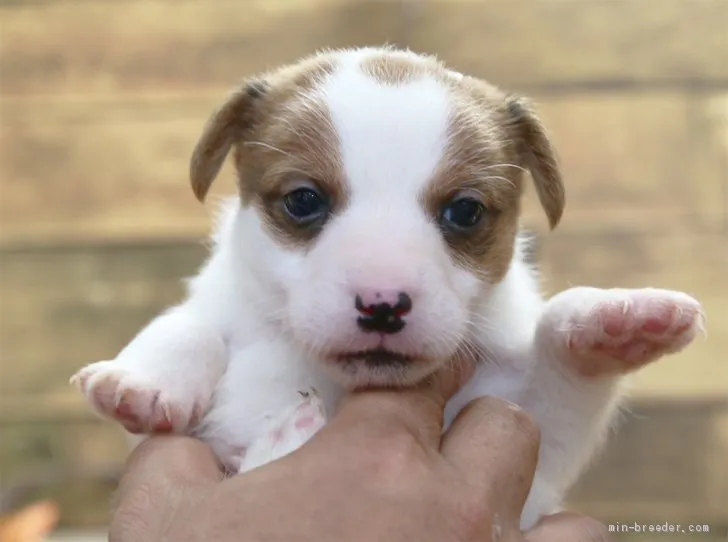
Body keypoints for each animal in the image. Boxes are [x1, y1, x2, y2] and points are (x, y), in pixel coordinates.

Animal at [69, 46, 704, 532]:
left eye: (465, 211)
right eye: (304, 200)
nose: (382, 305)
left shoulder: (534, 464)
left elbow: (557, 374)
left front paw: (611, 322)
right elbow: (190, 325)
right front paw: (141, 380)